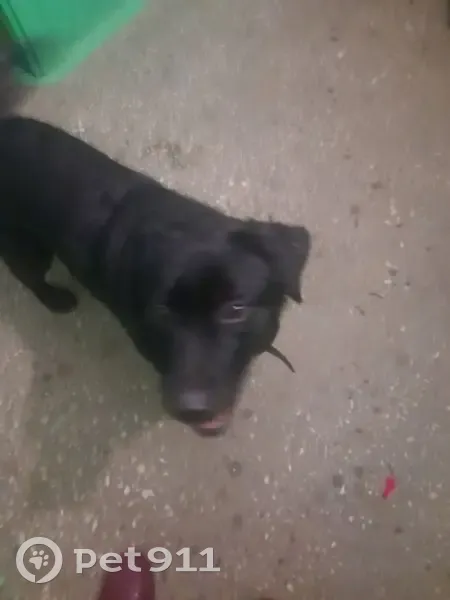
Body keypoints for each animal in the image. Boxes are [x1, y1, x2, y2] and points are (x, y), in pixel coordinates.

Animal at [0, 54, 311, 436]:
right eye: (162, 313)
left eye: (235, 310)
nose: (189, 409)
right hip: (24, 246)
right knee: (30, 278)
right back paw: (57, 299)